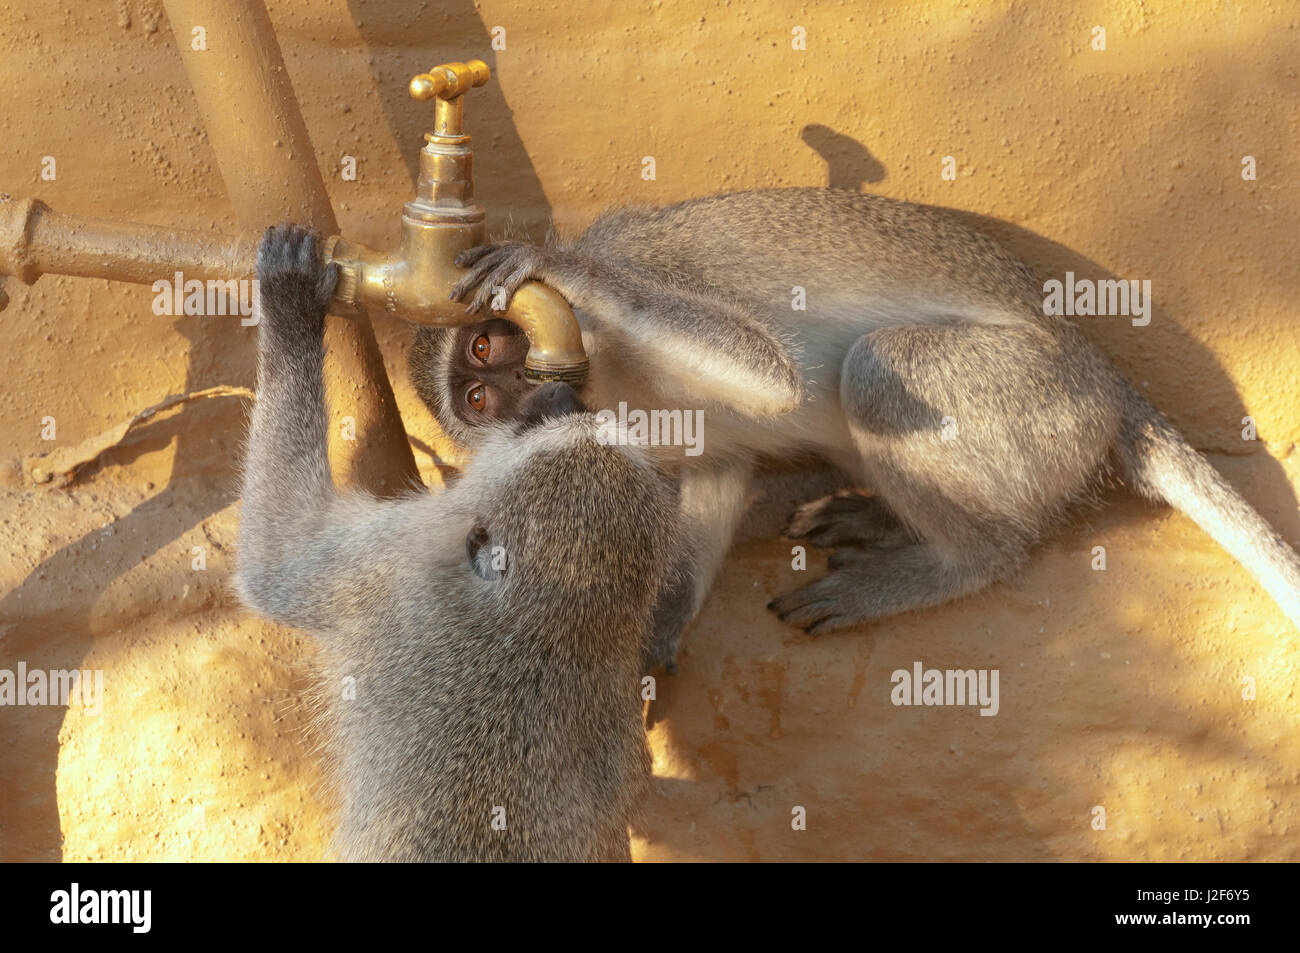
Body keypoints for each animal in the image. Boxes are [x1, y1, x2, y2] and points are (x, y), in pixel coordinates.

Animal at [236, 224, 681, 863]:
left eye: (533, 427)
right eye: (549, 418)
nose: (556, 400)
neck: (548, 625)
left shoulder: (392, 570)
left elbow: (274, 564)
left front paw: (290, 309)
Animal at [410, 184, 1300, 660]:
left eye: (493, 339)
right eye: (478, 397)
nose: (523, 385)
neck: (609, 381)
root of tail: (1102, 373)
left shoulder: (641, 274)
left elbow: (768, 376)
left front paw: (561, 265)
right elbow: (717, 472)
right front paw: (659, 637)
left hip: (1036, 398)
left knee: (879, 367)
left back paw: (954, 560)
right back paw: (875, 518)